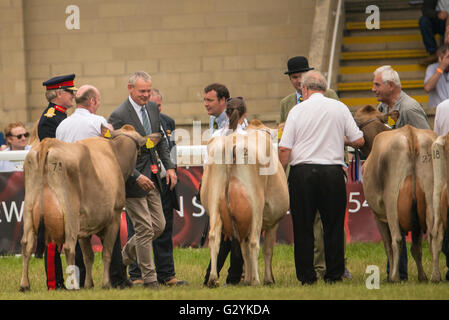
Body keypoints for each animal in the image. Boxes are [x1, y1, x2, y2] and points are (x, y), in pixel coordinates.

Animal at [19, 126, 159, 292]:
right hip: (70, 212)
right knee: (69, 247)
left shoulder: (84, 223)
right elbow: (106, 253)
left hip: (29, 209)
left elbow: (88, 256)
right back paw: (73, 284)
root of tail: (48, 143)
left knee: (26, 245)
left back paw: (24, 285)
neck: (115, 154)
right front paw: (105, 283)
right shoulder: (114, 217)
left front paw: (88, 284)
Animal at [201, 120, 288, 288]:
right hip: (256, 205)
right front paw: (268, 279)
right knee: (254, 242)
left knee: (214, 237)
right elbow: (267, 250)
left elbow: (244, 251)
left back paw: (213, 279)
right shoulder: (273, 222)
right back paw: (256, 281)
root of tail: (231, 142)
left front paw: (246, 278)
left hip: (214, 201)